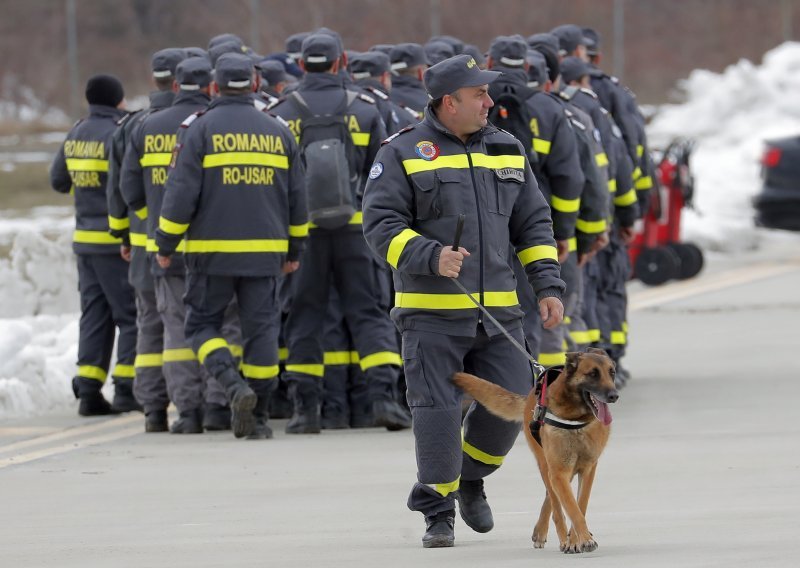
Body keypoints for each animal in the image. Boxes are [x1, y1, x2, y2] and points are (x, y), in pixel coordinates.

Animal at [450, 348, 620, 552]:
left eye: (612, 373)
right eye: (593, 374)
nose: (614, 395)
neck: (576, 419)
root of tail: (531, 393)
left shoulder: (587, 470)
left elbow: (580, 505)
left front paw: (577, 538)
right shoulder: (559, 472)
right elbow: (572, 508)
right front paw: (582, 539)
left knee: (551, 498)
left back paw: (549, 533)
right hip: (547, 466)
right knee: (555, 506)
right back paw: (560, 538)